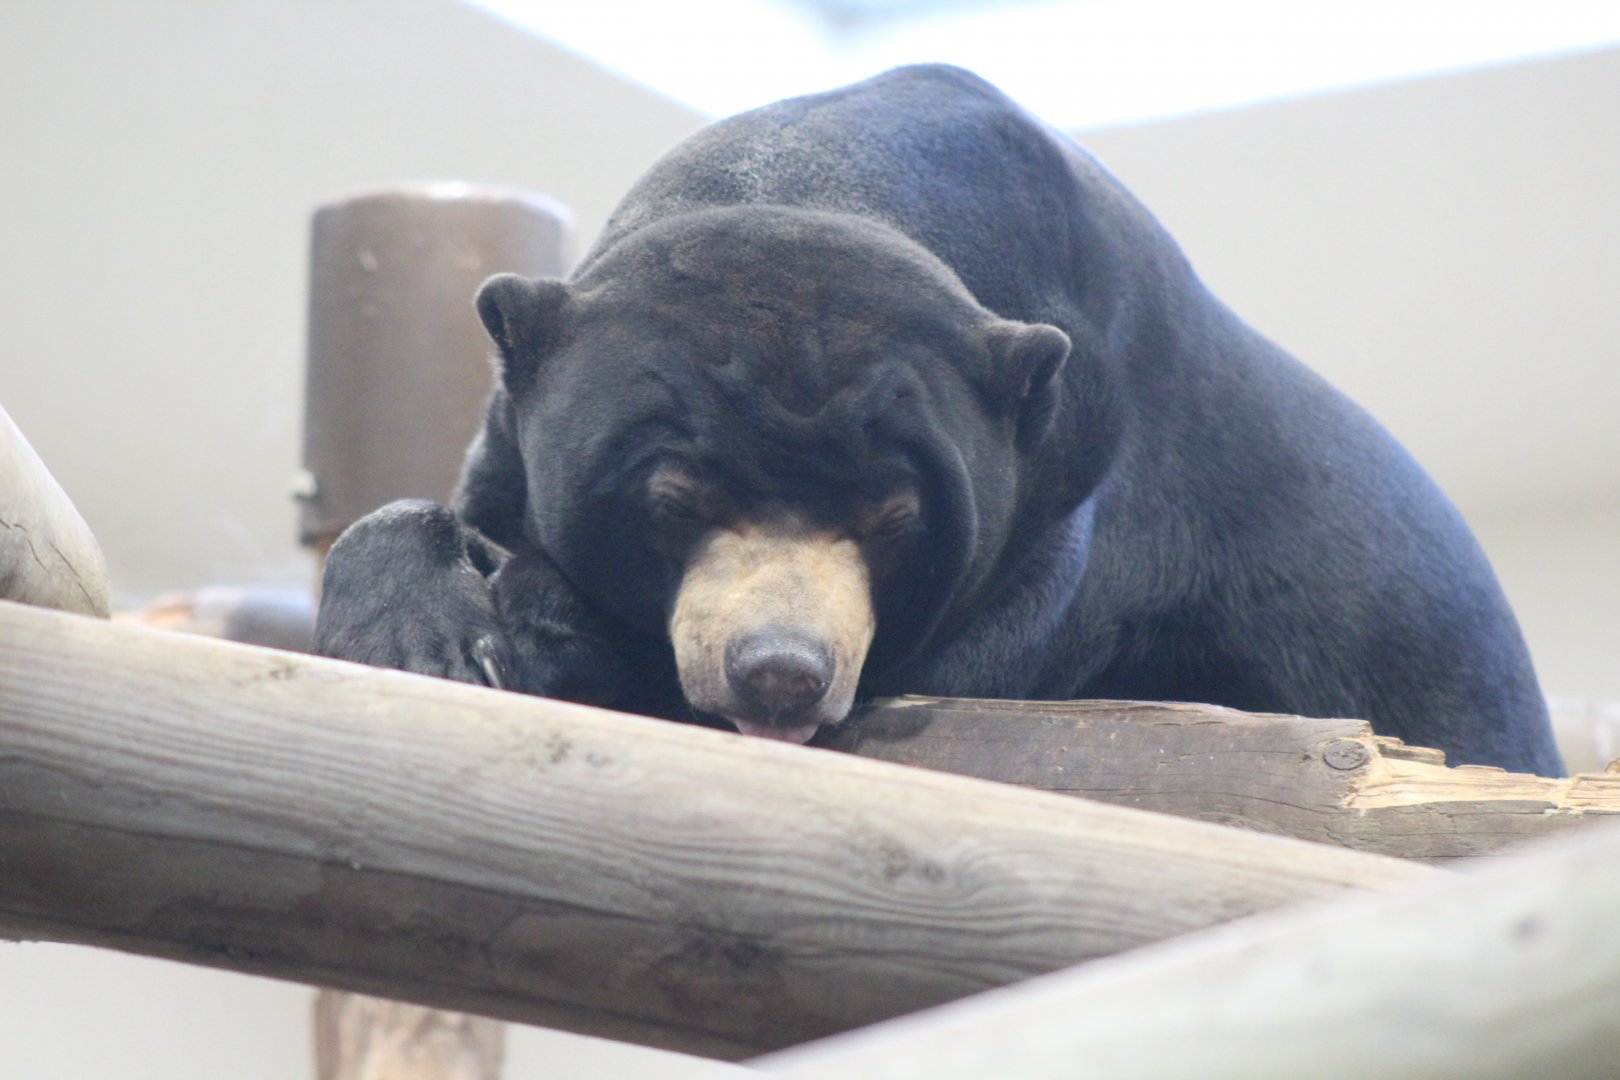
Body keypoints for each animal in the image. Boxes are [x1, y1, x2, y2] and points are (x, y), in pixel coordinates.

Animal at [315, 63, 1564, 776]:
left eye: (894, 514)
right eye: (673, 498)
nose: (781, 673)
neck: (809, 178)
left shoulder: (1078, 478)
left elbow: (978, 643)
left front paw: (537, 623)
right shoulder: (512, 437)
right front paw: (426, 627)